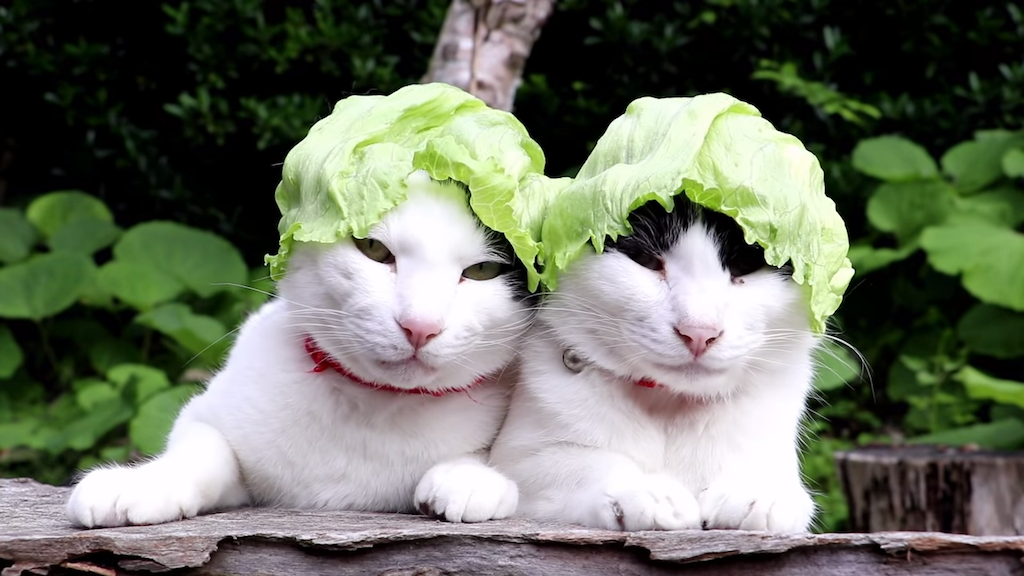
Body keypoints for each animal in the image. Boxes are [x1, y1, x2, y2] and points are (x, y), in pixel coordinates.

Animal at [65, 170, 532, 524]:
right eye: (374, 248)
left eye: (482, 270)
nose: (419, 326)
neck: (375, 407)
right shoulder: (210, 414)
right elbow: (204, 447)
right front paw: (142, 482)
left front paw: (469, 476)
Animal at [491, 195, 819, 528]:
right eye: (644, 259)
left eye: (744, 266)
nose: (699, 332)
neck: (666, 404)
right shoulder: (518, 461)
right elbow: (578, 463)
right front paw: (644, 489)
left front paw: (758, 487)